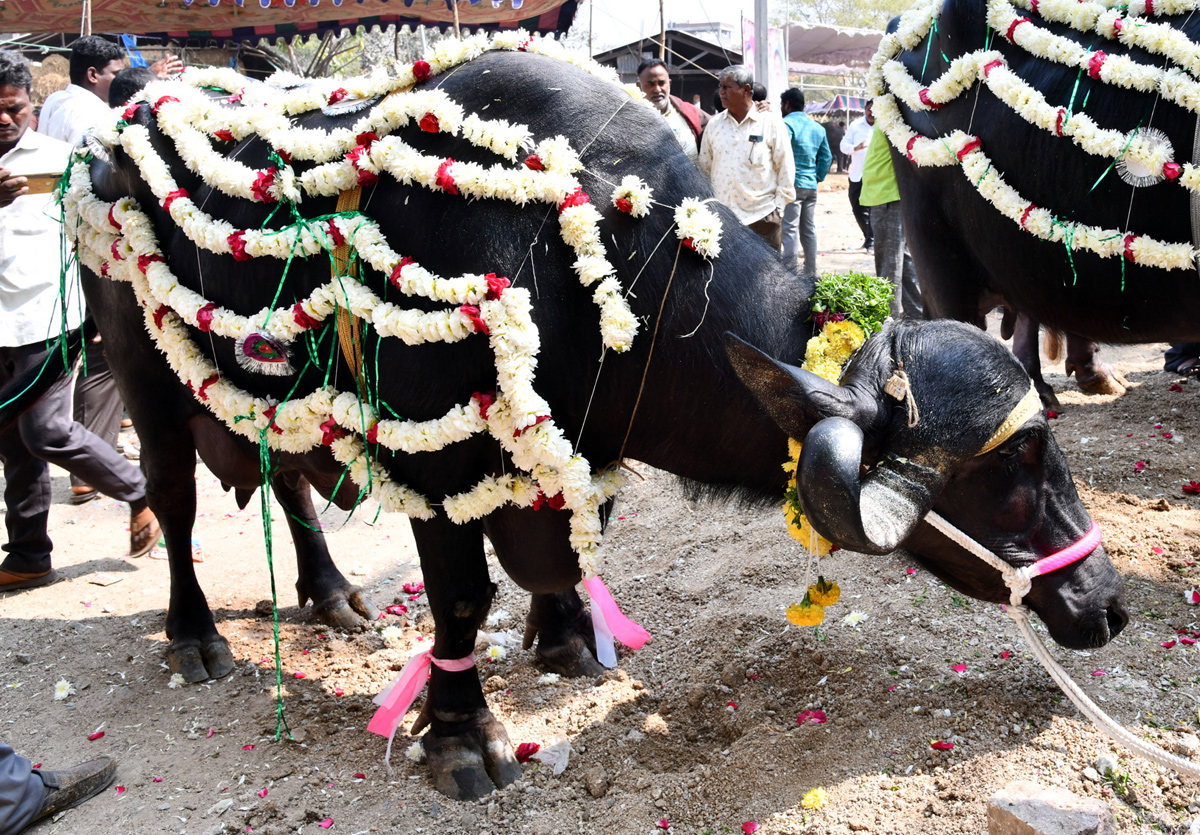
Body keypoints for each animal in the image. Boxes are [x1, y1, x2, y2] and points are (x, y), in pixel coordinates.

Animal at [44, 37, 1123, 796]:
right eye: (1018, 461)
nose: (1109, 603)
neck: (587, 250)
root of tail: (117, 136)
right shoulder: (437, 463)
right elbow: (461, 598)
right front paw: (462, 738)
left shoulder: (575, 451)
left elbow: (565, 543)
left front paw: (563, 639)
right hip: (144, 375)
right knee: (176, 500)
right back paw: (195, 638)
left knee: (292, 484)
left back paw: (334, 592)